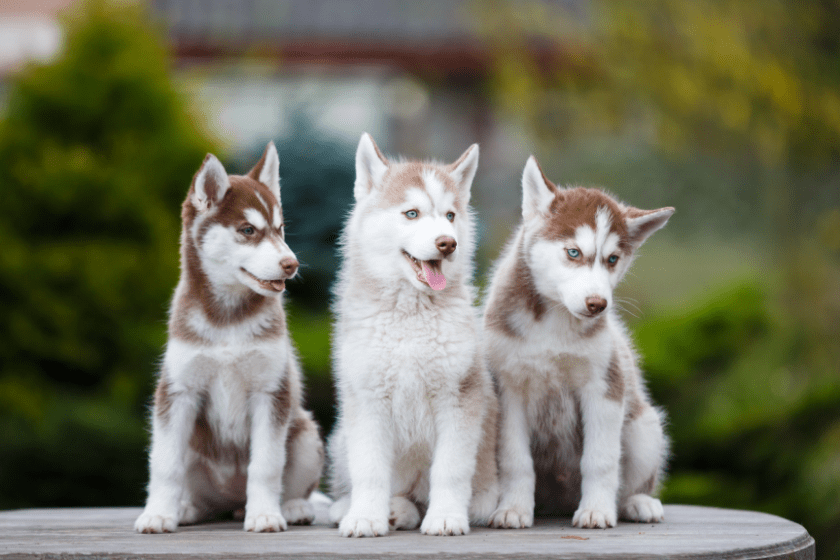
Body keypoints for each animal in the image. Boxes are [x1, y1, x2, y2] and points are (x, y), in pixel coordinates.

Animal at [135, 143, 324, 532]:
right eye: (248, 230)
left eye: (280, 229)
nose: (292, 264)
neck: (228, 320)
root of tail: (231, 501)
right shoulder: (177, 392)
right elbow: (164, 464)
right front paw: (158, 513)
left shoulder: (271, 391)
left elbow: (266, 465)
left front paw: (265, 514)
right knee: (202, 497)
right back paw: (188, 508)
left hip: (304, 432)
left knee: (293, 484)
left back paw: (290, 507)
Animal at [326, 132, 498, 540]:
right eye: (412, 214)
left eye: (450, 216)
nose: (447, 243)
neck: (410, 317)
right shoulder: (367, 399)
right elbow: (369, 470)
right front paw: (364, 517)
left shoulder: (459, 398)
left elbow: (450, 470)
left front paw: (446, 517)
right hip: (340, 437)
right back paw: (363, 509)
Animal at [486, 155, 668, 528]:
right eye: (573, 252)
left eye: (612, 259)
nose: (598, 304)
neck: (554, 320)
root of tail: (560, 502)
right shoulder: (509, 389)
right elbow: (515, 460)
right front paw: (513, 509)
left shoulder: (604, 387)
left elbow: (601, 460)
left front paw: (597, 510)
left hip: (645, 428)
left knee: (634, 478)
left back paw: (637, 503)